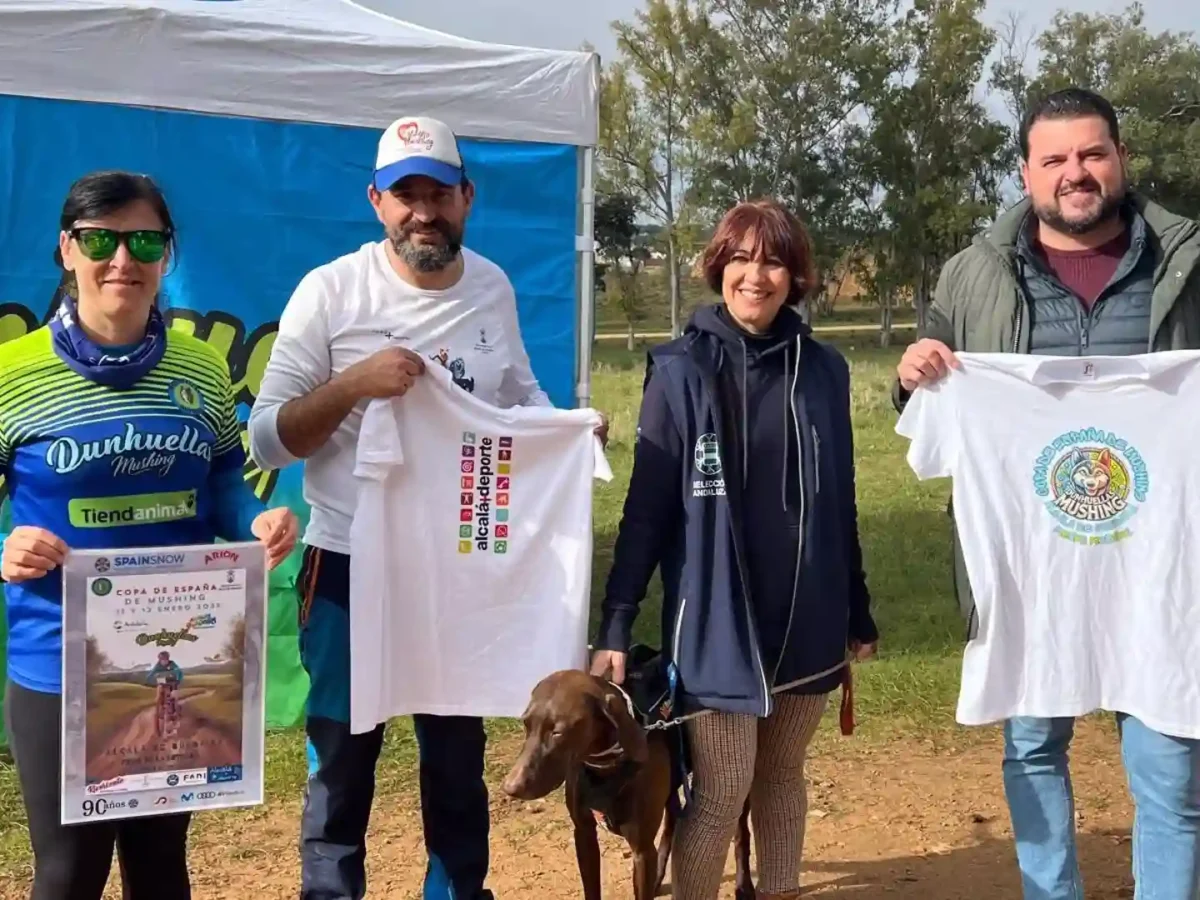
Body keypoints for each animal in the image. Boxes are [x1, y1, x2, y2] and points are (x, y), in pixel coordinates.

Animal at [499, 672, 748, 897]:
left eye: (558, 732)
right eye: (526, 723)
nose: (511, 787)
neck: (605, 769)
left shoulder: (641, 851)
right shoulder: (584, 834)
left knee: (741, 832)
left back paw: (744, 886)